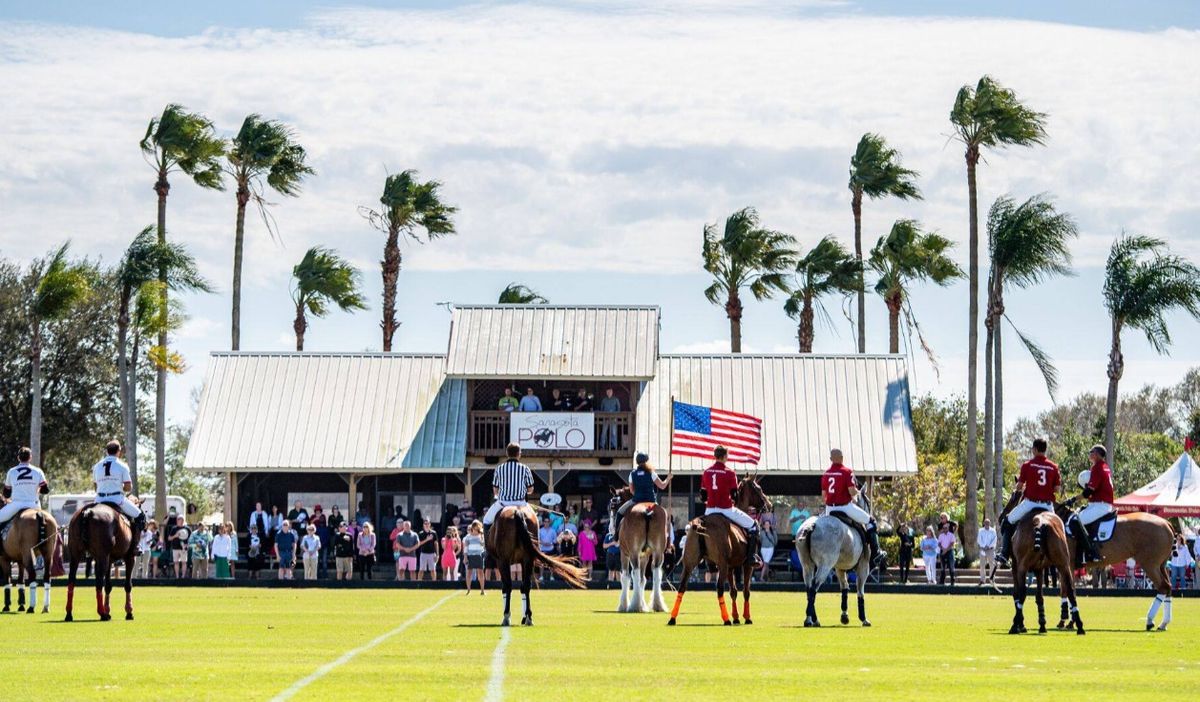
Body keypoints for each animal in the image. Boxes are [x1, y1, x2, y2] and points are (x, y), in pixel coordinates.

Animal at [667, 475, 768, 624]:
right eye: (759, 488)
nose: (768, 505)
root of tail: (701, 522)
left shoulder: (731, 567)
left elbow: (733, 591)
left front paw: (736, 617)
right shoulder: (746, 565)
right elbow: (746, 591)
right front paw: (746, 617)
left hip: (690, 562)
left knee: (682, 587)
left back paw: (672, 618)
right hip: (722, 564)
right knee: (719, 588)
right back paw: (726, 619)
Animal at [796, 492, 873, 624]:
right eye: (867, 501)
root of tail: (812, 525)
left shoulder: (839, 568)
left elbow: (845, 587)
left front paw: (844, 616)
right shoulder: (864, 565)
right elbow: (860, 591)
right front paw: (863, 619)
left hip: (806, 564)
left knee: (808, 587)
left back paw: (811, 619)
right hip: (826, 564)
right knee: (815, 585)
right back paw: (810, 620)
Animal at [998, 489, 1084, 633]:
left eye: (1013, 496)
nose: (1001, 517)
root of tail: (1041, 522)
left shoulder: (1016, 565)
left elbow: (1016, 594)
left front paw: (1021, 624)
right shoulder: (1039, 568)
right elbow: (1039, 596)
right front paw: (1042, 624)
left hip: (1023, 566)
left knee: (1022, 592)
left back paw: (1015, 626)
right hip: (1064, 564)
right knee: (1071, 589)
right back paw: (1079, 626)